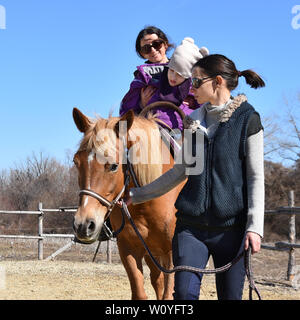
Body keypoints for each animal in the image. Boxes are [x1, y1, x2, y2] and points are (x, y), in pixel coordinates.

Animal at [71, 107, 186, 300]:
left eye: (113, 166)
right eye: (76, 162)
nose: (83, 224)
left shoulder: (172, 254)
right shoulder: (128, 248)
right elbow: (140, 292)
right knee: (157, 281)